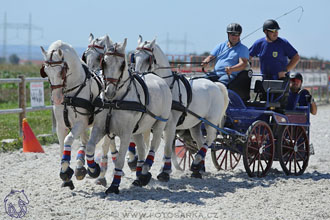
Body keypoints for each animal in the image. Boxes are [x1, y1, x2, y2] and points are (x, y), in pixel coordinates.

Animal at [40, 40, 102, 189]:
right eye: (46, 71)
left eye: (61, 71)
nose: (57, 98)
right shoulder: (61, 126)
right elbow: (62, 146)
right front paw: (65, 174)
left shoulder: (80, 123)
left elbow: (68, 140)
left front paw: (67, 172)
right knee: (85, 141)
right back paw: (81, 167)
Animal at [85, 37, 171, 194]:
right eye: (104, 61)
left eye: (122, 64)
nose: (109, 92)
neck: (114, 101)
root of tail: (159, 79)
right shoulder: (100, 128)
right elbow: (90, 147)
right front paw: (94, 170)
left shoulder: (125, 133)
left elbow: (119, 159)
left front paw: (114, 186)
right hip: (137, 129)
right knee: (142, 149)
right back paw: (139, 177)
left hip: (159, 124)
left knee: (153, 147)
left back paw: (145, 172)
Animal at [134, 36, 229, 179]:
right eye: (134, 56)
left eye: (148, 58)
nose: (138, 75)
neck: (168, 87)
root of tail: (215, 84)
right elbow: (166, 147)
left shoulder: (171, 124)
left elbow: (167, 147)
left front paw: (164, 172)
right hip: (196, 124)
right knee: (200, 141)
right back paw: (198, 168)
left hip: (211, 121)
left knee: (210, 138)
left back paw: (196, 163)